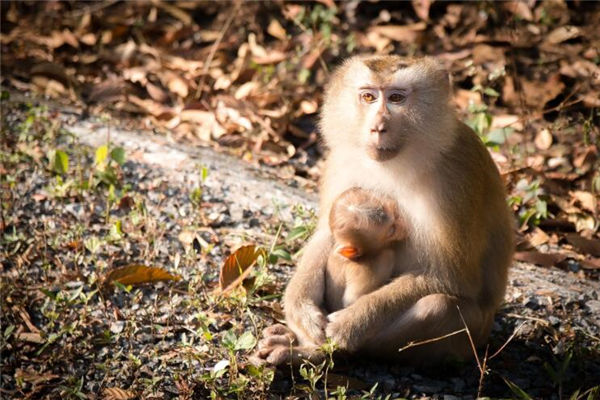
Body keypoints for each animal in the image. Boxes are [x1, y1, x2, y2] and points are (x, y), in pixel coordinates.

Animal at [255, 55, 512, 366]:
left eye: (397, 98)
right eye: (368, 96)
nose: (378, 127)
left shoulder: (457, 178)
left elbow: (453, 278)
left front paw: (354, 321)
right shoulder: (339, 161)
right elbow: (326, 235)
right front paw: (300, 308)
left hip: (469, 339)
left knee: (437, 305)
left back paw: (320, 352)